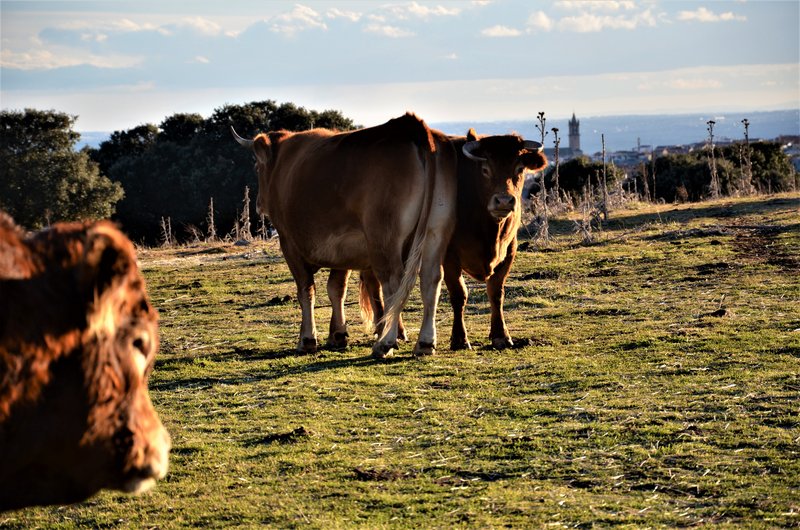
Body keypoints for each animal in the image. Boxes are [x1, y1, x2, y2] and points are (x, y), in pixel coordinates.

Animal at [231, 113, 456, 356]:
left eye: (257, 166)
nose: (258, 204)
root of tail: (409, 126)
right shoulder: (343, 249)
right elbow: (336, 289)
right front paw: (337, 334)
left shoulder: (289, 244)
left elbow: (306, 290)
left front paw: (307, 338)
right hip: (435, 234)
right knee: (431, 279)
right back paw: (425, 342)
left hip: (384, 239)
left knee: (393, 283)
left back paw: (385, 342)